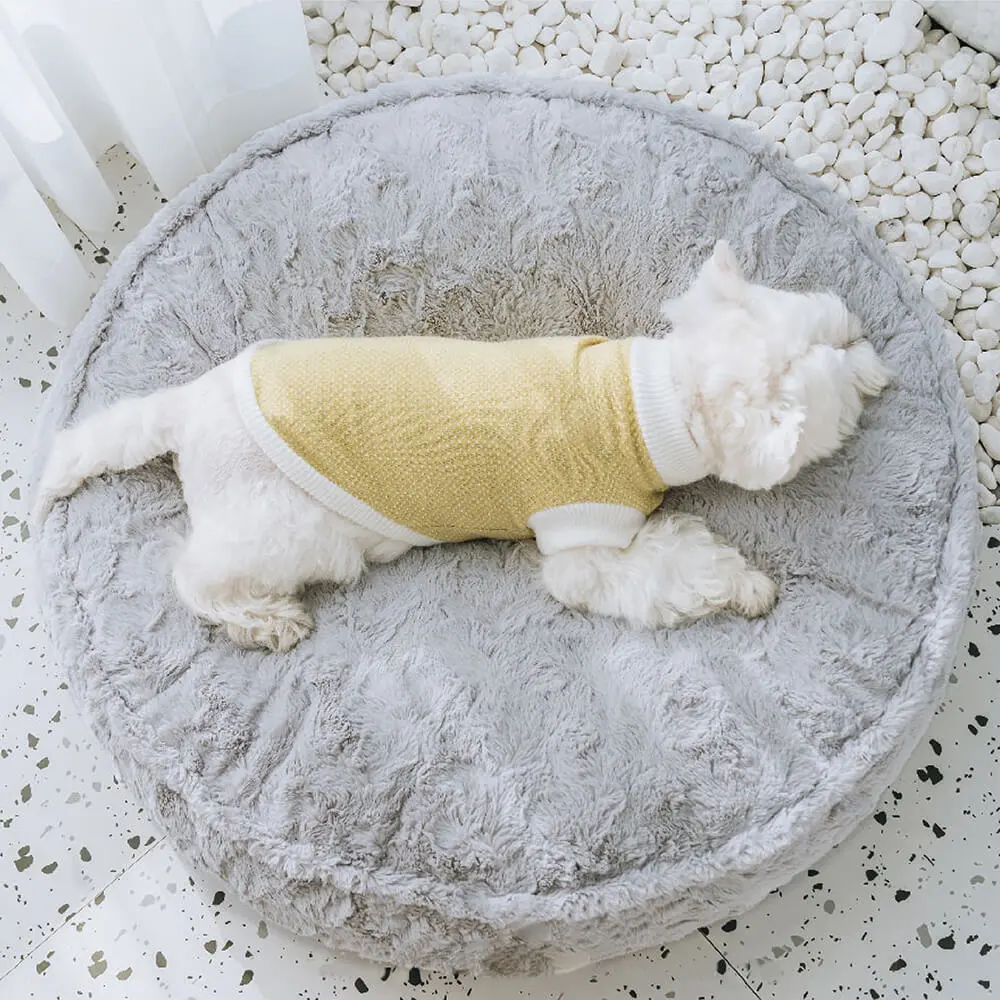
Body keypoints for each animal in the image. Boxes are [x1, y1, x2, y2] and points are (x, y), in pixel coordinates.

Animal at [35, 240, 888, 648]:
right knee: (196, 574)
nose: (875, 355)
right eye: (840, 366)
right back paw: (261, 618)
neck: (655, 402)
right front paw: (746, 586)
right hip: (285, 525)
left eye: (840, 328)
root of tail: (188, 406)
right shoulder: (582, 532)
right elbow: (662, 570)